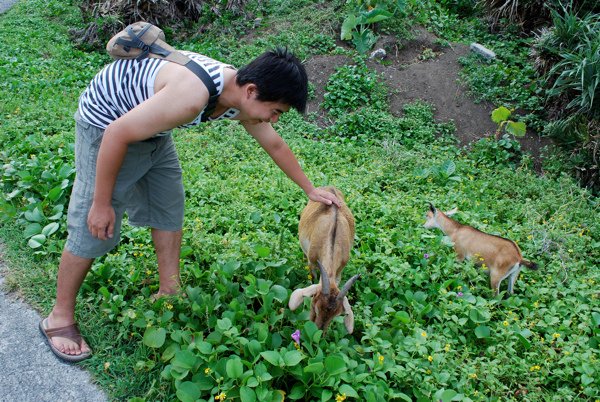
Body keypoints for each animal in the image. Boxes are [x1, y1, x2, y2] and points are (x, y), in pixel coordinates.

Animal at [288, 187, 358, 334]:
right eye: (314, 307)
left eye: (337, 315)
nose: (318, 333)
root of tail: (330, 187)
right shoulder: (312, 262)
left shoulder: (339, 271)